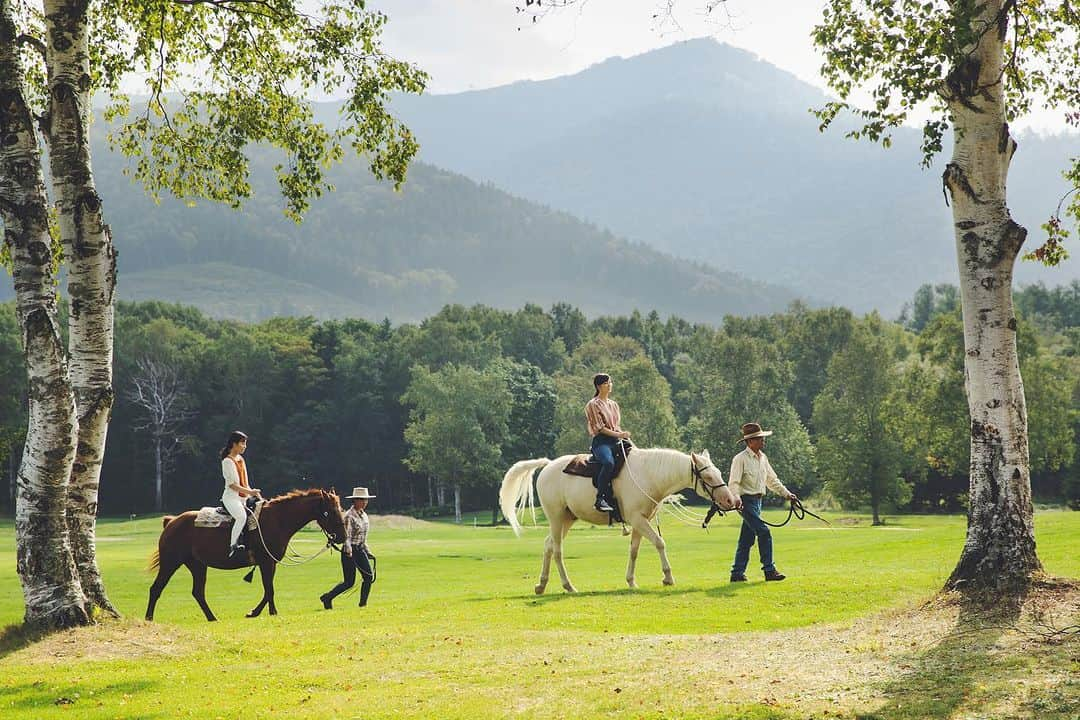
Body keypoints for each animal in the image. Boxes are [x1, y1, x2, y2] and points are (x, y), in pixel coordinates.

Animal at [145, 487, 343, 621]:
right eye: (330, 511)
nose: (342, 536)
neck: (277, 520)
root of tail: (171, 522)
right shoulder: (266, 562)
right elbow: (269, 589)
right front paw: (269, 612)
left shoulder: (270, 563)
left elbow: (268, 589)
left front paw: (257, 612)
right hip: (170, 563)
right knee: (156, 588)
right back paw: (149, 618)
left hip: (197, 565)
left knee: (198, 592)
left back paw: (212, 617)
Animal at [498, 446, 738, 595]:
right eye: (708, 477)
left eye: (718, 472)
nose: (730, 500)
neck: (648, 475)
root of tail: (548, 466)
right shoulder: (638, 519)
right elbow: (659, 543)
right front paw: (668, 577)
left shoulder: (641, 521)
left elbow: (634, 551)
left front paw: (631, 581)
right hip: (556, 518)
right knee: (557, 550)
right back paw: (568, 586)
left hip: (567, 519)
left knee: (548, 545)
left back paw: (541, 585)